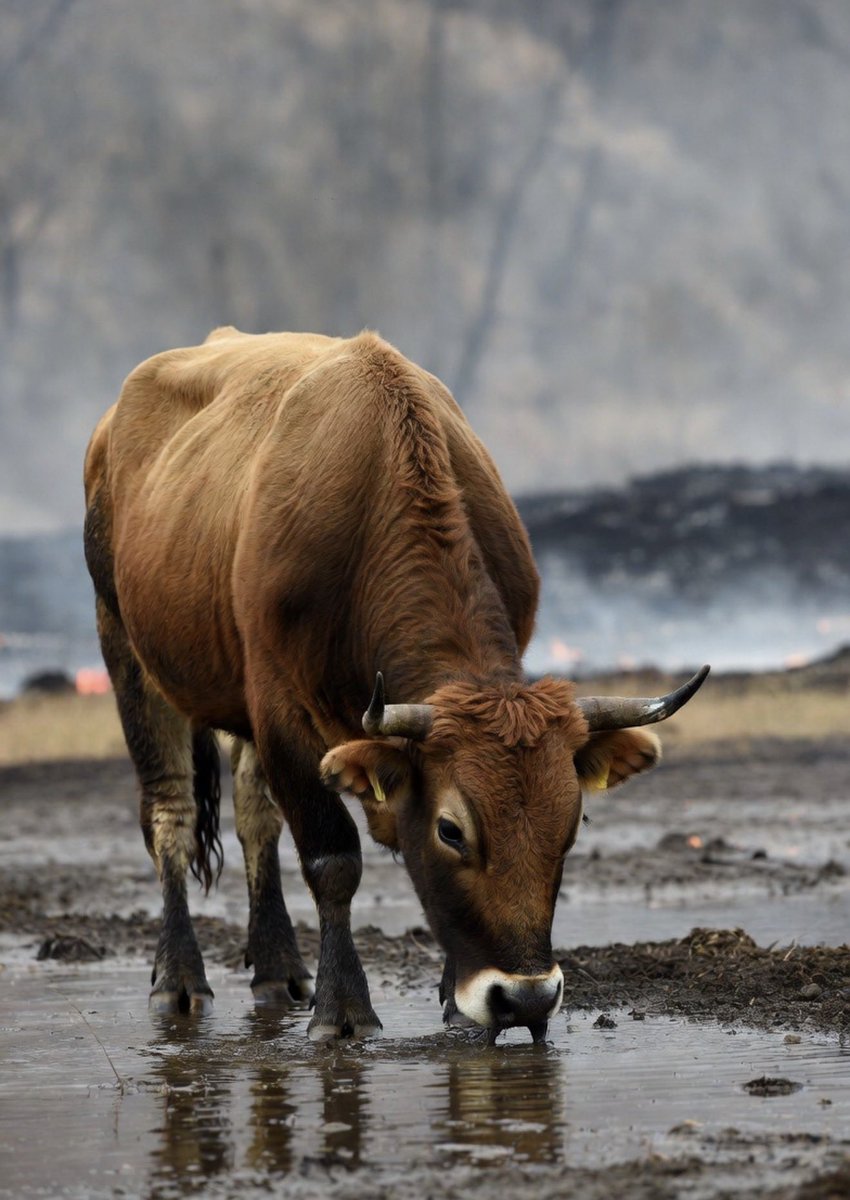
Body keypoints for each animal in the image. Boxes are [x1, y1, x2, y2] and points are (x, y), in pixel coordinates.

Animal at [84, 327, 708, 1042]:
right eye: (451, 830)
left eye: (571, 820)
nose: (525, 1000)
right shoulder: (278, 709)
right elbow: (333, 861)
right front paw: (342, 1010)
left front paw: (451, 1001)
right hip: (126, 647)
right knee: (172, 813)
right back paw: (181, 980)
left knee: (253, 814)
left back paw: (278, 971)